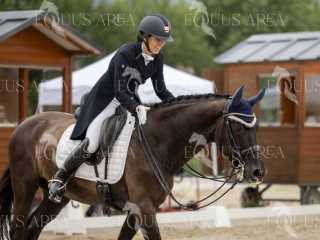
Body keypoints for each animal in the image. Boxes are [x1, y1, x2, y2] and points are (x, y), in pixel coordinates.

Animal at [0, 85, 264, 239]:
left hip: (57, 197)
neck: (158, 140)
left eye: (256, 127)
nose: (257, 172)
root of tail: (24, 124)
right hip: (25, 188)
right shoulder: (145, 208)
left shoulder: (137, 209)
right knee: (19, 228)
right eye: (238, 128)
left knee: (34, 227)